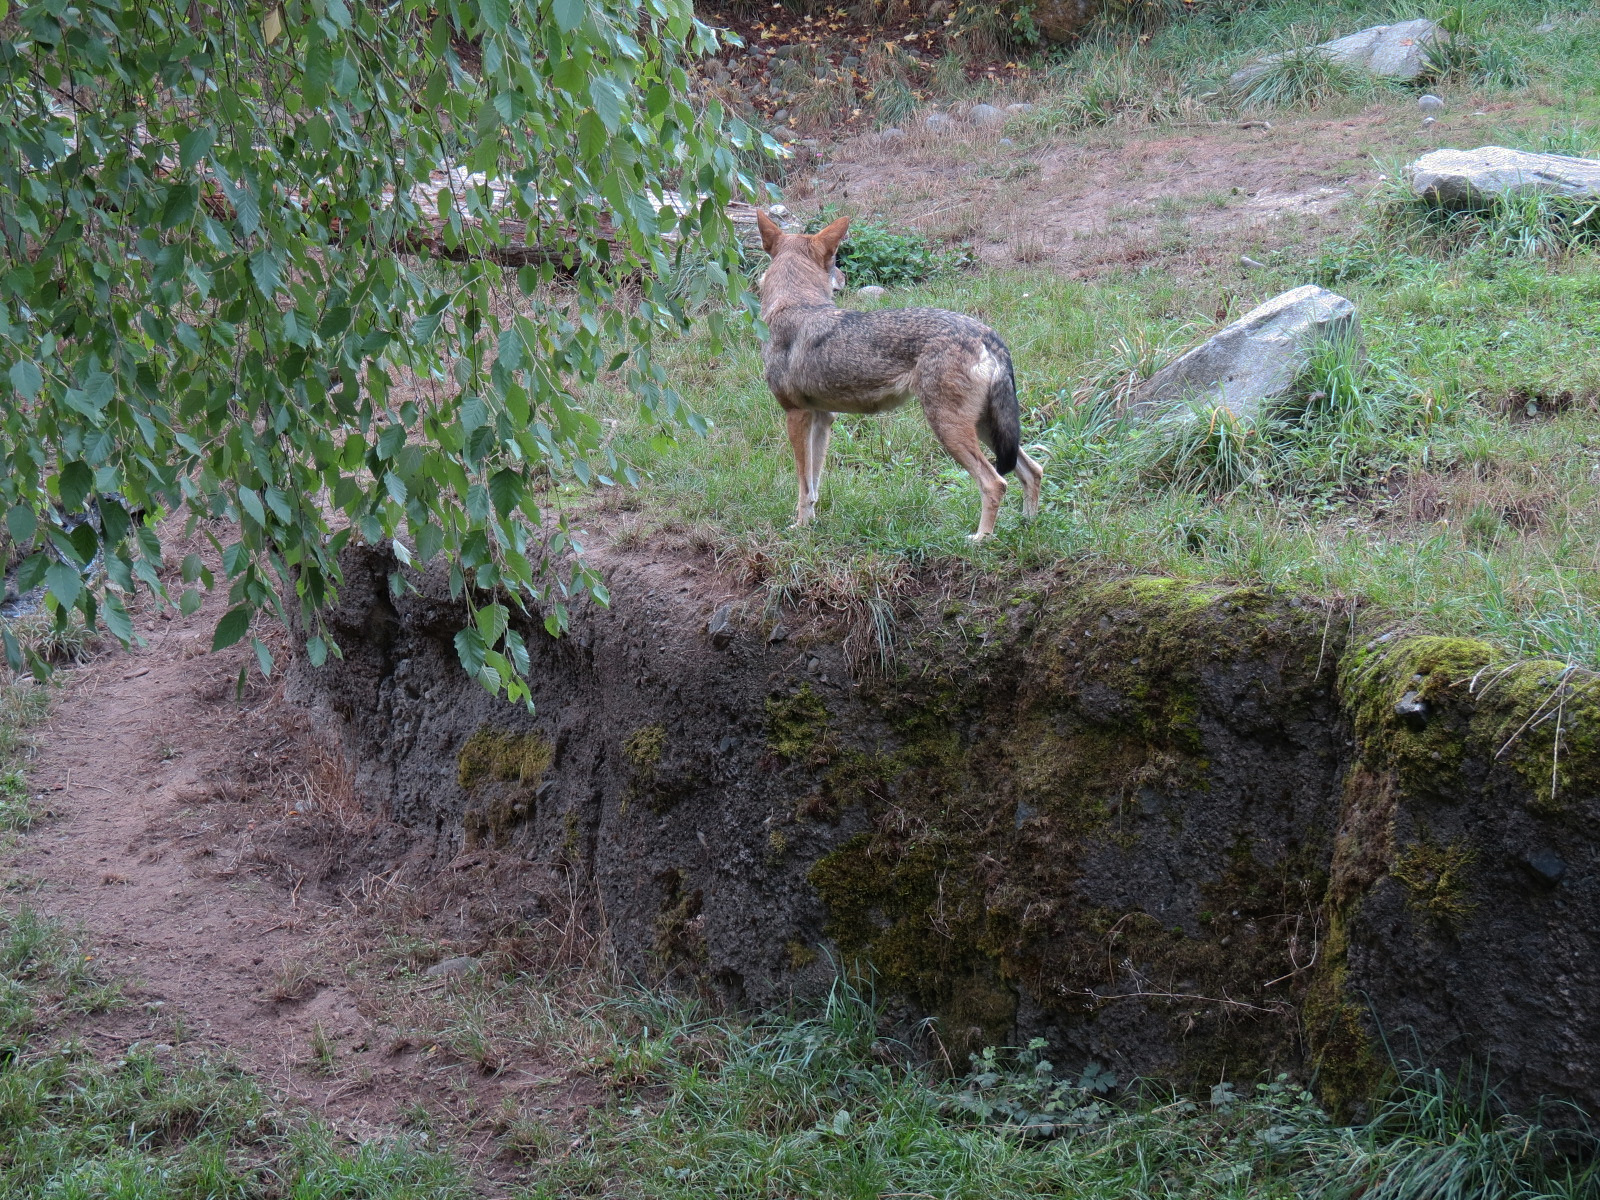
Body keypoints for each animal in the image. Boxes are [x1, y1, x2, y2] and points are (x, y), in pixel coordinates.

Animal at [754, 211, 1043, 541]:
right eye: (835, 260)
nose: (844, 277)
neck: (793, 305)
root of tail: (987, 334)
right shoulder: (822, 418)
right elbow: (814, 484)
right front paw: (811, 524)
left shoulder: (796, 415)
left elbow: (803, 485)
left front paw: (800, 528)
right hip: (987, 428)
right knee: (1033, 471)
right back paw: (1028, 526)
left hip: (949, 430)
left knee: (995, 482)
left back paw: (980, 539)